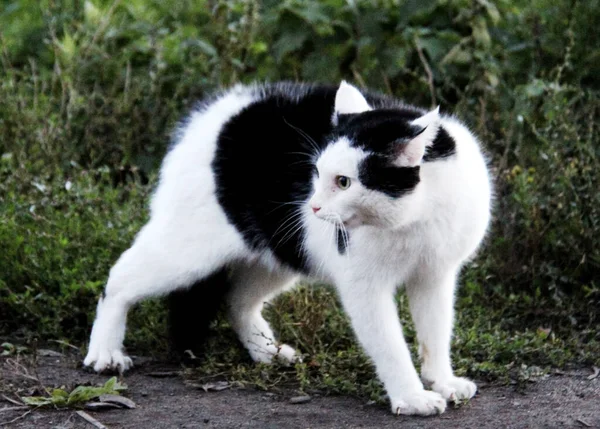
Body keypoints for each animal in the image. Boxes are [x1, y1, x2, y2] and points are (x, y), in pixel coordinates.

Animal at [83, 80, 492, 414]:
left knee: (236, 299)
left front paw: (442, 381)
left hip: (279, 252)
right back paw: (106, 353)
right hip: (188, 249)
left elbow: (436, 333)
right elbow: (390, 345)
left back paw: (267, 350)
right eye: (317, 174)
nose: (312, 207)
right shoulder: (365, 286)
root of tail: (215, 110)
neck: (414, 217)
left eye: (343, 182)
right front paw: (412, 397)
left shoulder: (435, 275)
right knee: (120, 279)